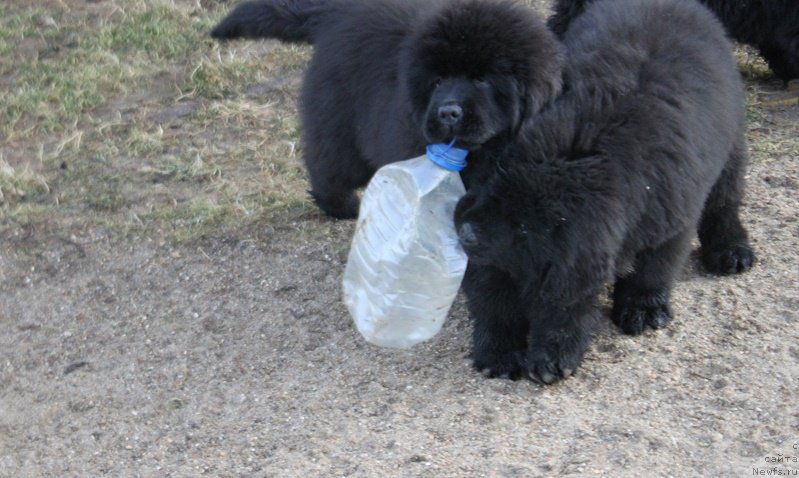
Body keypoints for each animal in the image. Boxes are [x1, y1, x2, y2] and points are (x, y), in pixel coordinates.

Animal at [456, 0, 756, 382]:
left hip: (730, 150)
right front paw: (501, 353)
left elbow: (647, 273)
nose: (465, 231)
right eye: (494, 183)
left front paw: (640, 312)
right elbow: (498, 301)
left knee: (724, 204)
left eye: (523, 227)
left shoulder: (667, 226)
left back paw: (732, 251)